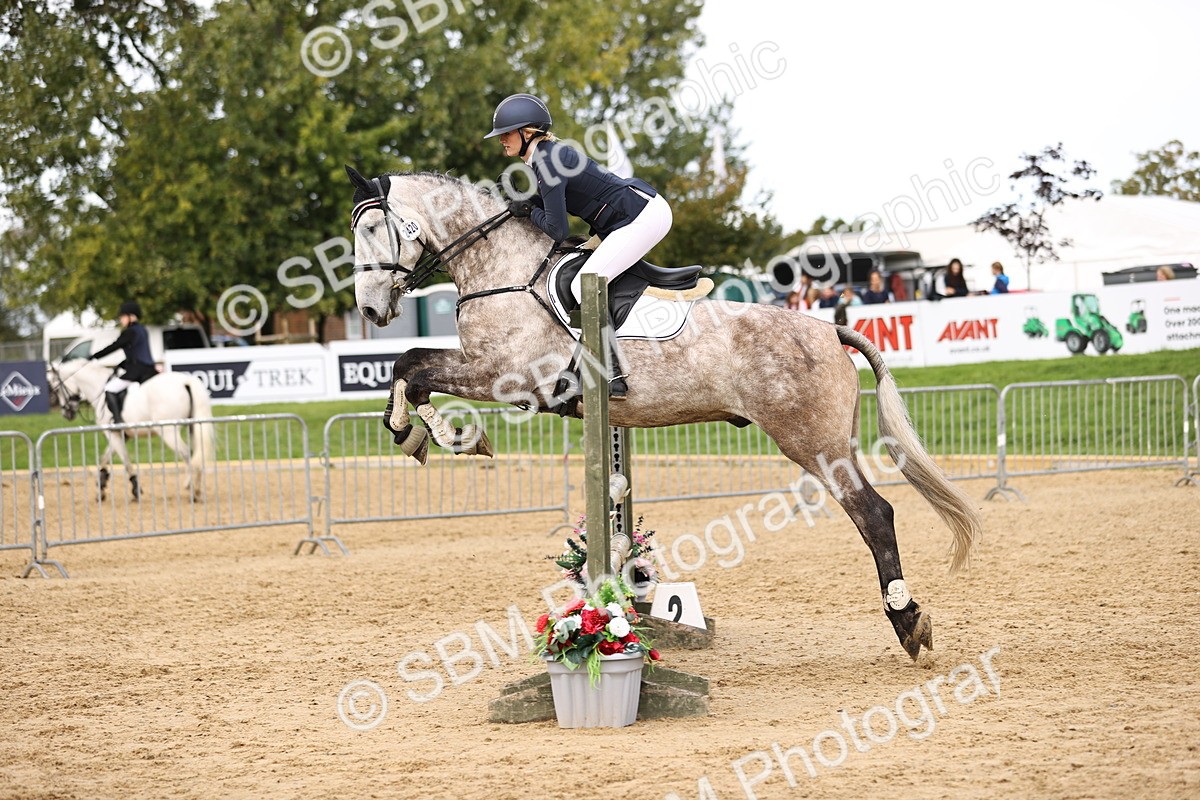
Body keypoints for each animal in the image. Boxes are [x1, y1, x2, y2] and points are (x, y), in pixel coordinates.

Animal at [48, 359, 216, 503]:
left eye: (57, 389)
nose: (67, 414)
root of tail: (186, 381)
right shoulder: (121, 435)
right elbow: (104, 459)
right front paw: (101, 488)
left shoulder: (112, 433)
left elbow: (126, 461)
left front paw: (135, 490)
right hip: (193, 425)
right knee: (197, 453)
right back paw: (195, 488)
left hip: (168, 431)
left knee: (187, 454)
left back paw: (192, 489)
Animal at [345, 166, 982, 660]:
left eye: (373, 229)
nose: (370, 311)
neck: (502, 272)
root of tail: (829, 329)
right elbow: (410, 366)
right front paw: (421, 432)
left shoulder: (506, 376)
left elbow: (413, 367)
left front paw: (432, 434)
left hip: (814, 444)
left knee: (874, 514)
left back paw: (908, 622)